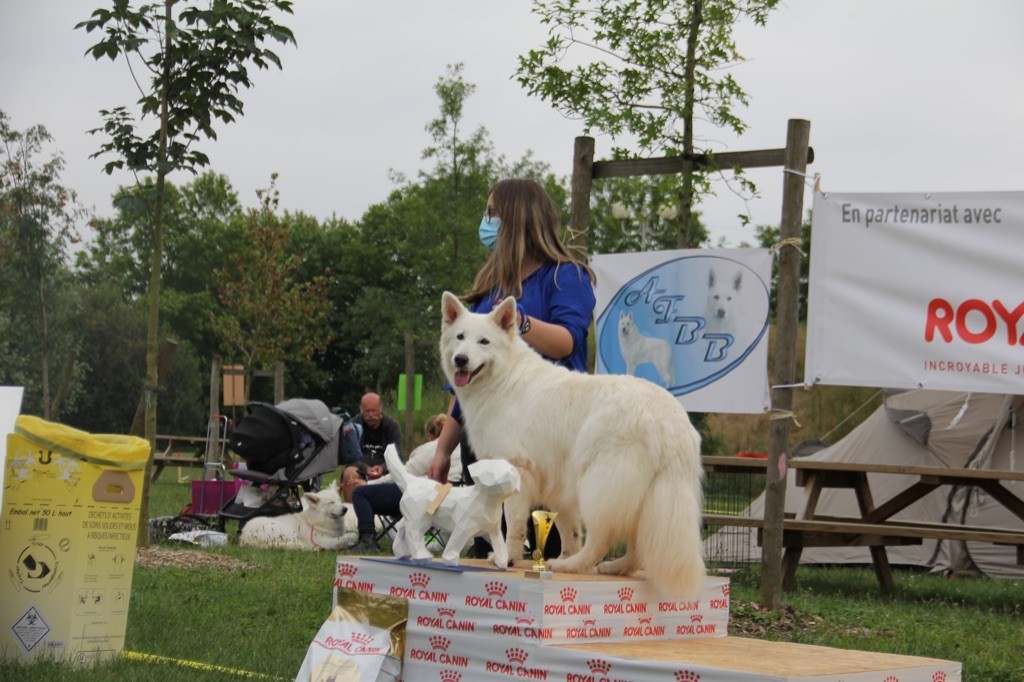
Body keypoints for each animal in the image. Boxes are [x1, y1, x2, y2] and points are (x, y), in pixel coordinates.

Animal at [440, 288, 704, 598]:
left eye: (484, 341)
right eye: (460, 337)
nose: (460, 360)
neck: (503, 378)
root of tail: (669, 420)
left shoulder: (518, 471)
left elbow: (514, 524)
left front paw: (509, 558)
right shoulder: (560, 484)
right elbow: (570, 530)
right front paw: (561, 553)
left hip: (600, 486)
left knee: (601, 539)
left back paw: (572, 565)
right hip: (646, 499)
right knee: (637, 547)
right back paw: (610, 568)